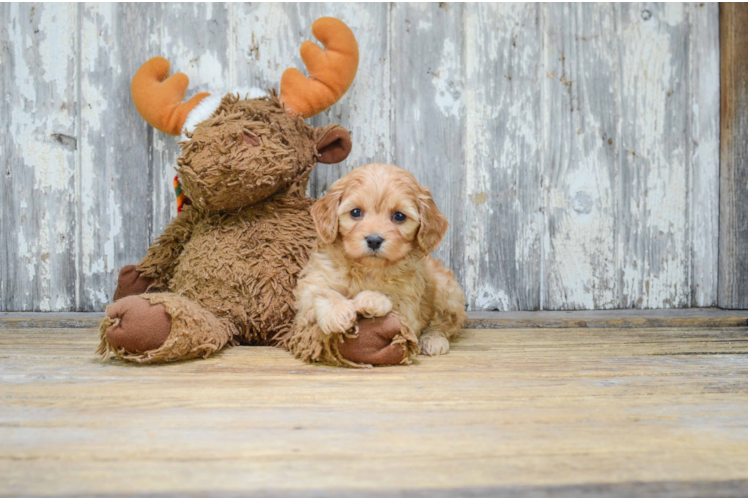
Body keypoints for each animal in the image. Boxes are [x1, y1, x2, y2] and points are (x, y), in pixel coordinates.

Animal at [290, 162, 464, 366]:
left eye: (399, 216)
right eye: (355, 212)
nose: (374, 240)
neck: (366, 269)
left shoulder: (409, 304)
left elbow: (392, 302)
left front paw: (370, 298)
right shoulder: (312, 284)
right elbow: (321, 292)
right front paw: (337, 311)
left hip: (447, 291)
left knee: (446, 324)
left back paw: (433, 340)